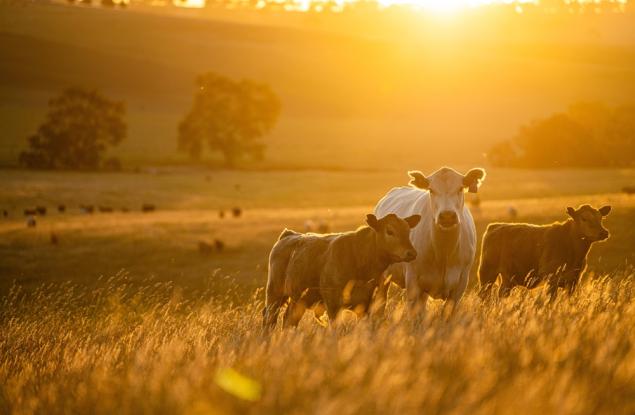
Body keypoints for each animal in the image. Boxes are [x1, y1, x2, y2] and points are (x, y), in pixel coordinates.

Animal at [264, 214, 422, 332]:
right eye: (389, 231)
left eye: (408, 231)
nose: (411, 253)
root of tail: (288, 235)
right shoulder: (333, 303)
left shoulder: (371, 305)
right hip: (274, 293)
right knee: (269, 318)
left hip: (299, 299)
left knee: (289, 320)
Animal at [372, 167, 486, 316]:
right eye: (431, 190)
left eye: (461, 188)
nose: (447, 216)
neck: (443, 251)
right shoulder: (413, 283)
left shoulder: (460, 285)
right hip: (383, 277)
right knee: (380, 303)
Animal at [480, 204, 612, 300]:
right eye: (584, 218)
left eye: (601, 218)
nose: (603, 232)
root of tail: (495, 226)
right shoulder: (552, 279)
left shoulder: (573, 280)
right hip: (487, 273)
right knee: (484, 295)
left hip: (508, 278)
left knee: (501, 293)